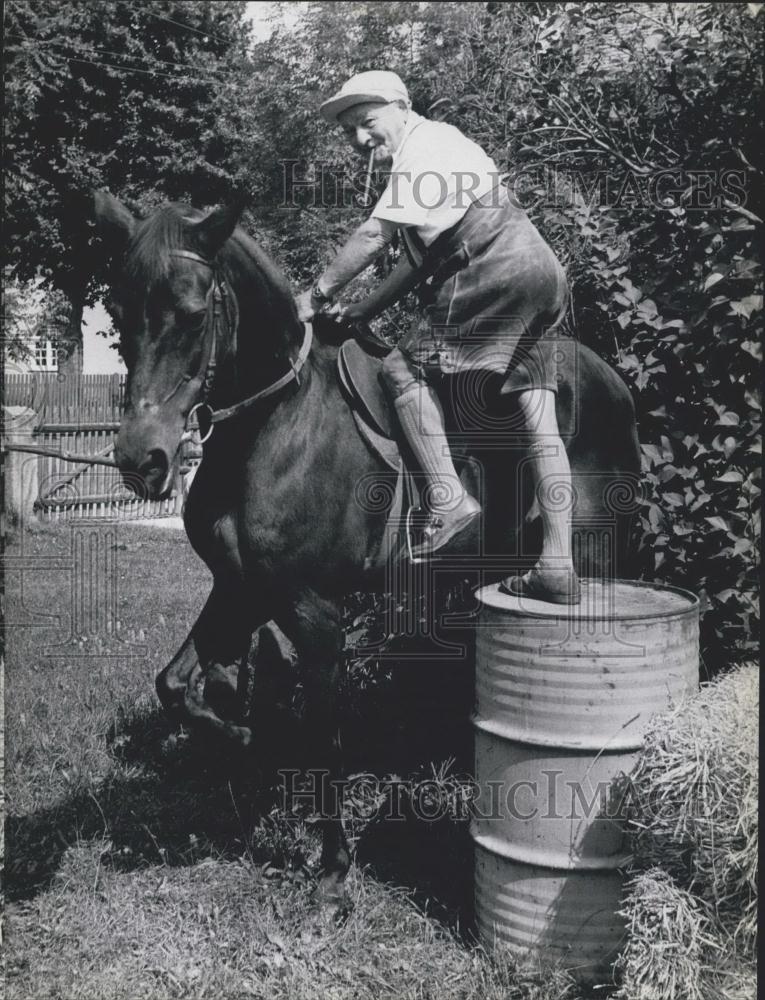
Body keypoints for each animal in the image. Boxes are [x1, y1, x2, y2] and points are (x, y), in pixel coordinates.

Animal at [92, 189, 640, 916]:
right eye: (122, 314)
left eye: (191, 310)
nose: (140, 460)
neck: (277, 421)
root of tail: (613, 383)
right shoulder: (241, 589)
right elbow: (177, 686)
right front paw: (247, 740)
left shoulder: (312, 611)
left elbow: (325, 733)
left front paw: (332, 872)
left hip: (592, 555)